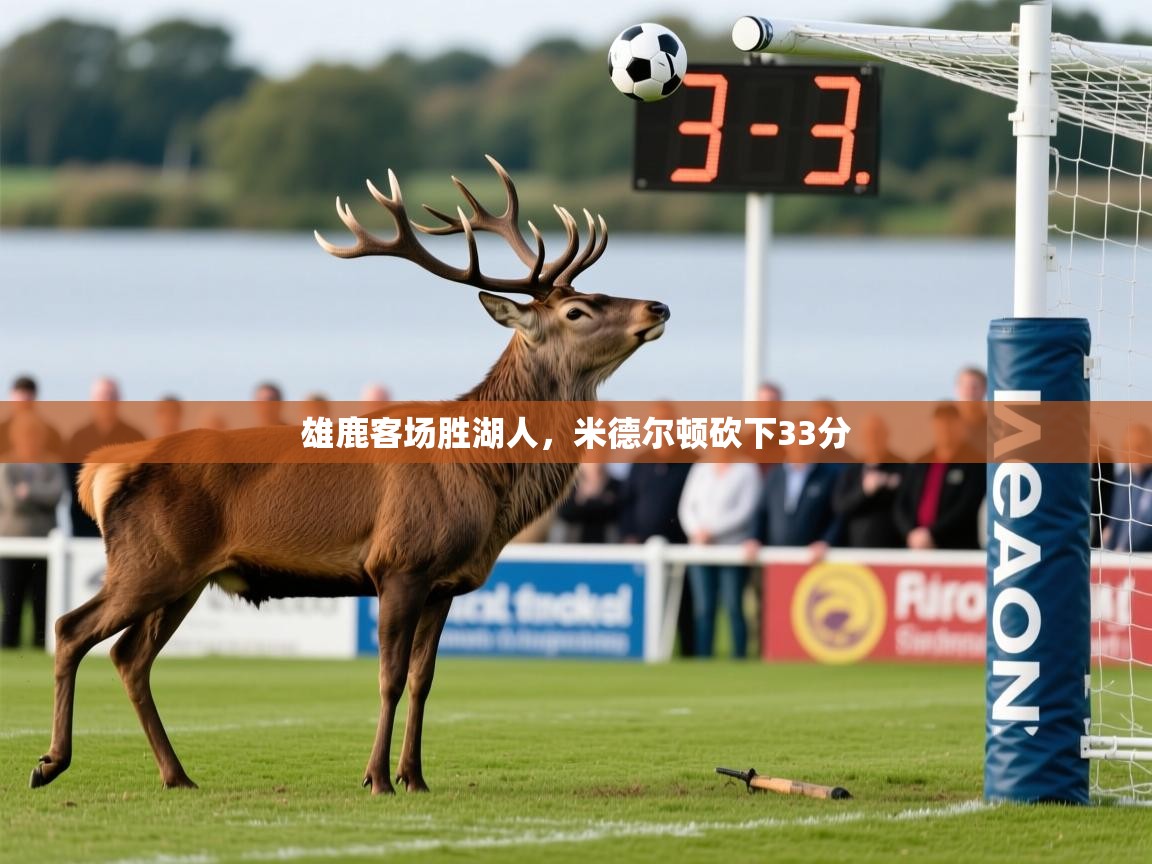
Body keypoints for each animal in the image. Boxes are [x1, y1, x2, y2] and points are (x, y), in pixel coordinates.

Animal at [29, 156, 669, 795]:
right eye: (577, 311)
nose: (658, 308)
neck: (489, 487)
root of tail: (100, 472)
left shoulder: (444, 583)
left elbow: (424, 680)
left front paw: (415, 777)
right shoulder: (399, 562)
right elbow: (389, 677)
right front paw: (377, 777)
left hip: (185, 576)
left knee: (130, 656)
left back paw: (176, 774)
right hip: (151, 560)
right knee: (70, 629)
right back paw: (51, 761)